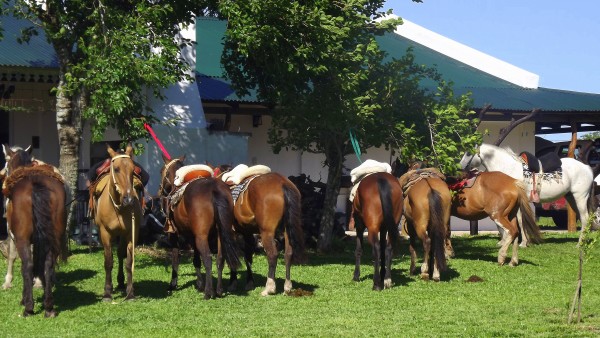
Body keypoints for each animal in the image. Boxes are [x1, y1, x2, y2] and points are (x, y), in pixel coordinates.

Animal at [1, 145, 67, 316]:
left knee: (28, 265)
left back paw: (28, 307)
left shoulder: (14, 237)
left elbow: (17, 260)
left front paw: (23, 297)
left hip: (22, 239)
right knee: (48, 263)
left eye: (6, 163)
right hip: (54, 237)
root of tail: (36, 183)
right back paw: (49, 306)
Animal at [91, 144, 143, 300]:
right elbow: (108, 262)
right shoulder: (105, 233)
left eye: (133, 169)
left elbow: (129, 262)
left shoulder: (132, 232)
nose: (129, 199)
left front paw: (130, 292)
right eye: (116, 169)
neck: (118, 207)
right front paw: (107, 292)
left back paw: (120, 282)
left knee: (120, 254)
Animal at [158, 156, 240, 298]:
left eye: (162, 171)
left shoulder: (175, 235)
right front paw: (200, 284)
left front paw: (173, 284)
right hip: (221, 234)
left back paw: (208, 292)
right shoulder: (192, 236)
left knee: (207, 258)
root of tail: (213, 189)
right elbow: (196, 259)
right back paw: (219, 290)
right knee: (220, 258)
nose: (161, 190)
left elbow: (176, 258)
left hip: (201, 236)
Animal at [214, 162, 304, 294]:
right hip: (286, 230)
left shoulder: (226, 232)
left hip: (267, 232)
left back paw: (269, 287)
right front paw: (249, 283)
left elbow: (225, 257)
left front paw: (231, 284)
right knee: (288, 253)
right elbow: (248, 257)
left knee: (272, 254)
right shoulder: (246, 233)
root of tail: (282, 183)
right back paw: (287, 286)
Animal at [460, 144, 596, 239]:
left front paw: (523, 243)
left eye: (468, 153)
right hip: (571, 198)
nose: (460, 167)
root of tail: (587, 167)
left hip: (580, 197)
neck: (508, 168)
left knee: (585, 219)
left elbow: (519, 220)